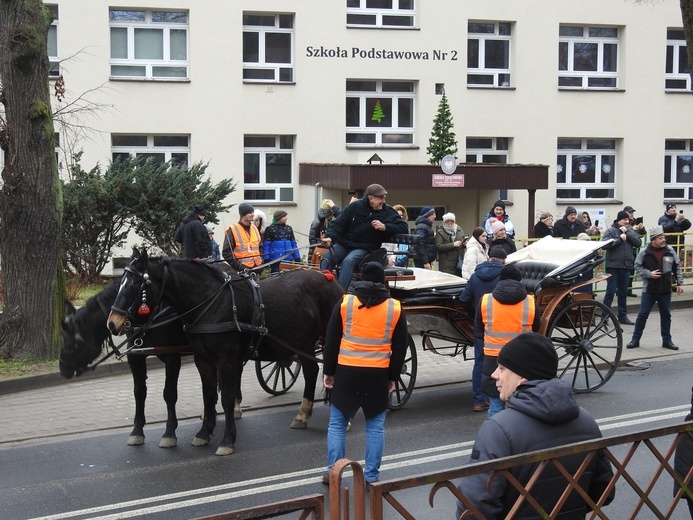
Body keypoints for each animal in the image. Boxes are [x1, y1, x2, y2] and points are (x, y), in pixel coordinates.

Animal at [58, 284, 189, 446]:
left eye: (76, 341)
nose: (63, 368)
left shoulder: (172, 357)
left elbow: (169, 394)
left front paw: (169, 432)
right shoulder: (135, 357)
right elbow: (139, 392)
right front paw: (137, 431)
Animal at [108, 250, 344, 458]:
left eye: (135, 285)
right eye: (119, 284)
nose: (113, 323)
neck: (212, 302)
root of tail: (330, 278)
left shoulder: (222, 360)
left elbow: (224, 398)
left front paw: (227, 440)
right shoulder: (201, 360)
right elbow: (207, 395)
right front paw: (204, 433)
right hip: (303, 344)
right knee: (311, 371)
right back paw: (302, 415)